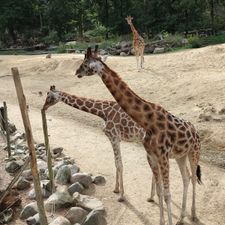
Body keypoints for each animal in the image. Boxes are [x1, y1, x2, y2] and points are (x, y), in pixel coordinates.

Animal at [74, 48, 201, 225]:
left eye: (85, 64)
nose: (76, 72)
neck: (147, 121)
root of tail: (196, 131)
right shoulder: (153, 156)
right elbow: (161, 192)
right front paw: (162, 220)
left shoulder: (162, 156)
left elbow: (167, 194)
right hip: (180, 156)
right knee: (186, 178)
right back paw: (182, 218)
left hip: (194, 153)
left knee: (194, 178)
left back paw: (194, 215)